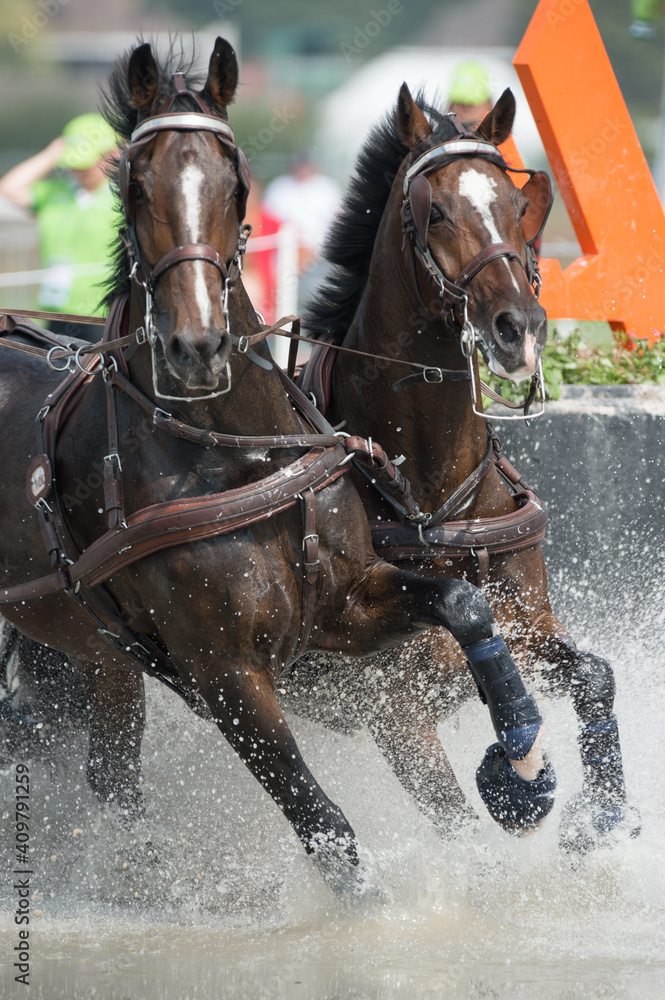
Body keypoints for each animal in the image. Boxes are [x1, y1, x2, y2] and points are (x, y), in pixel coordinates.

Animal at [0, 39, 548, 893]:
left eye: (235, 183)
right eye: (135, 183)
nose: (196, 345)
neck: (241, 456)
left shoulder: (353, 611)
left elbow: (469, 607)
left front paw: (523, 756)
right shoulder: (233, 674)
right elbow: (329, 827)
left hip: (99, 656)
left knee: (110, 777)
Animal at [294, 84, 639, 851]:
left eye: (517, 206)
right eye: (437, 212)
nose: (519, 327)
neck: (432, 496)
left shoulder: (528, 631)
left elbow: (596, 675)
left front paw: (600, 819)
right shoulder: (396, 712)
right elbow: (456, 827)